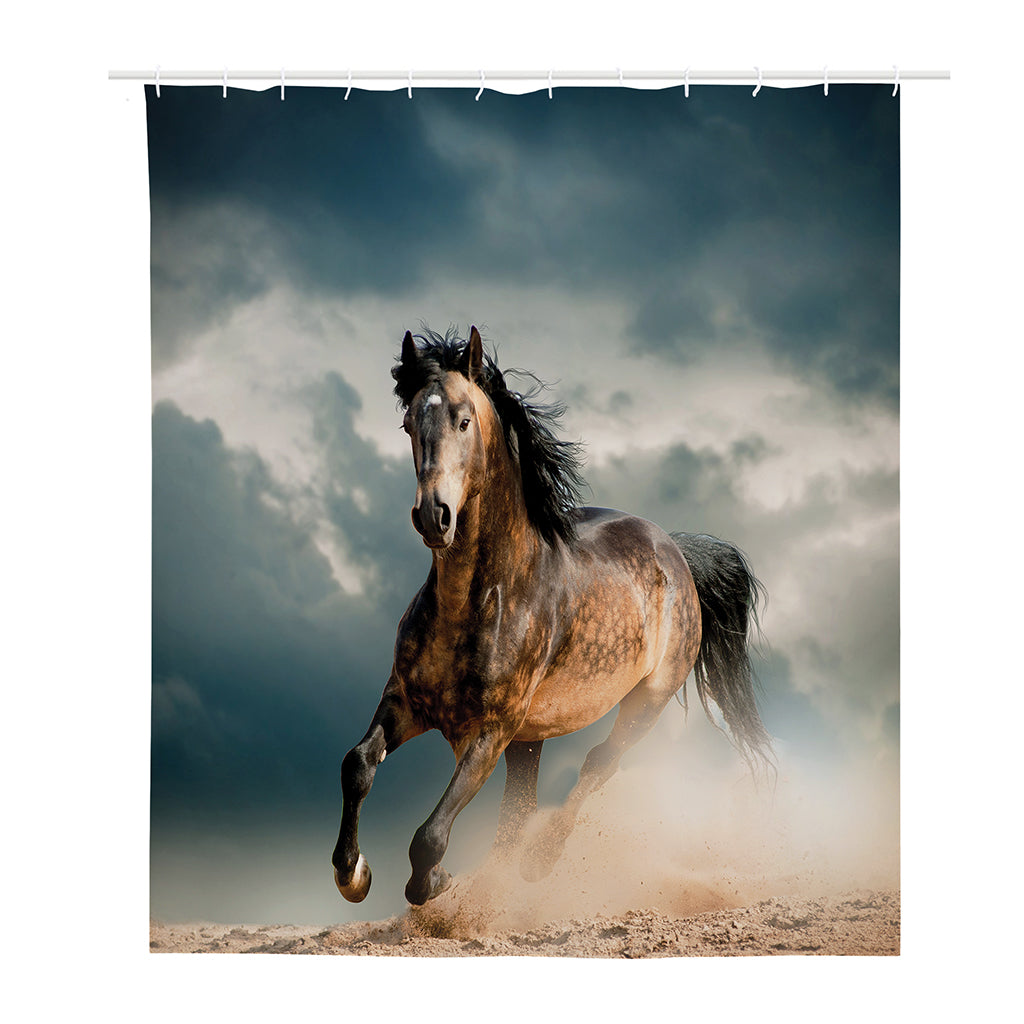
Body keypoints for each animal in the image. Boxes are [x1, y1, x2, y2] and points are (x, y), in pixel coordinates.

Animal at [332, 326, 773, 906]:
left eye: (464, 420)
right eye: (408, 424)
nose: (433, 516)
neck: (479, 600)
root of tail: (675, 550)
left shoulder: (489, 731)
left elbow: (429, 836)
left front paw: (437, 882)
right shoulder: (406, 701)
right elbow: (357, 765)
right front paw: (353, 873)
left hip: (644, 703)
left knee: (597, 765)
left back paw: (538, 863)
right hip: (531, 738)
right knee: (518, 811)